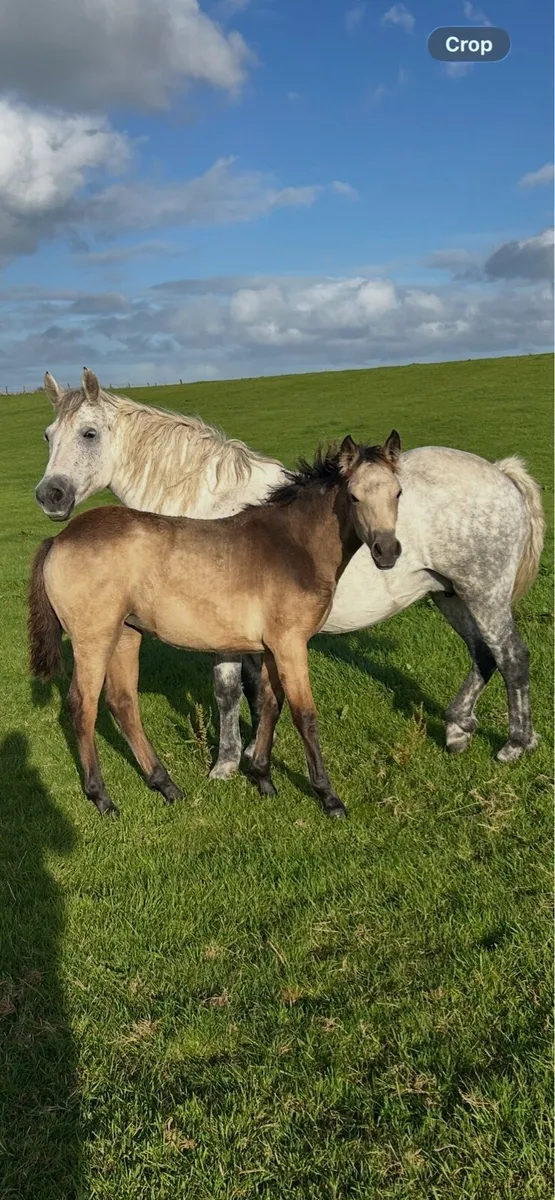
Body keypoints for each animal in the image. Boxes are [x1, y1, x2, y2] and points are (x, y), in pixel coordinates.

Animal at [29, 434, 403, 819]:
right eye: (354, 496)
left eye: (398, 493)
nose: (387, 551)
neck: (294, 545)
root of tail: (59, 539)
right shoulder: (291, 645)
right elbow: (305, 715)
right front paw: (329, 798)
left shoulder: (273, 648)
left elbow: (270, 705)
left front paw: (263, 779)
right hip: (94, 639)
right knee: (83, 706)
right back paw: (102, 798)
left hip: (125, 635)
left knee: (123, 703)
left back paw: (167, 786)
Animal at [34, 369, 544, 773]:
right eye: (47, 435)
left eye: (89, 434)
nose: (50, 495)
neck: (205, 505)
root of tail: (500, 473)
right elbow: (250, 691)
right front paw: (246, 755)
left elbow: (229, 691)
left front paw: (227, 765)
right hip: (449, 593)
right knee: (483, 655)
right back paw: (458, 730)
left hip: (484, 594)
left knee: (512, 657)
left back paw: (516, 745)